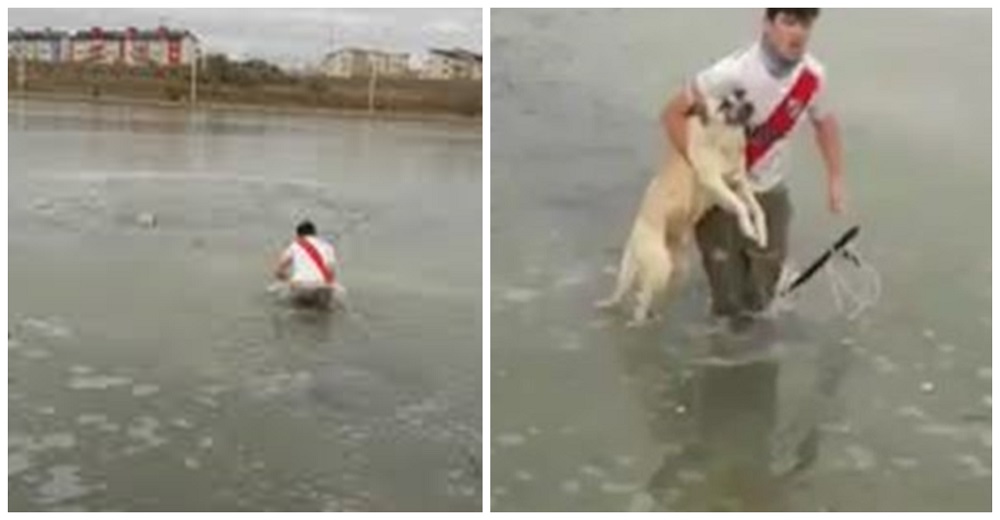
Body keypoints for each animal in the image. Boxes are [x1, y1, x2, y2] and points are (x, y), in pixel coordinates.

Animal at [592, 88, 764, 324]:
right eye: (724, 105)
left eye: (740, 95)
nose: (749, 105)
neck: (721, 138)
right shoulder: (714, 182)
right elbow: (740, 206)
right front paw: (748, 229)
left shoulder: (738, 184)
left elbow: (756, 208)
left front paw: (761, 234)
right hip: (659, 266)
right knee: (642, 299)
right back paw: (638, 320)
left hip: (675, 270)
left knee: (642, 295)